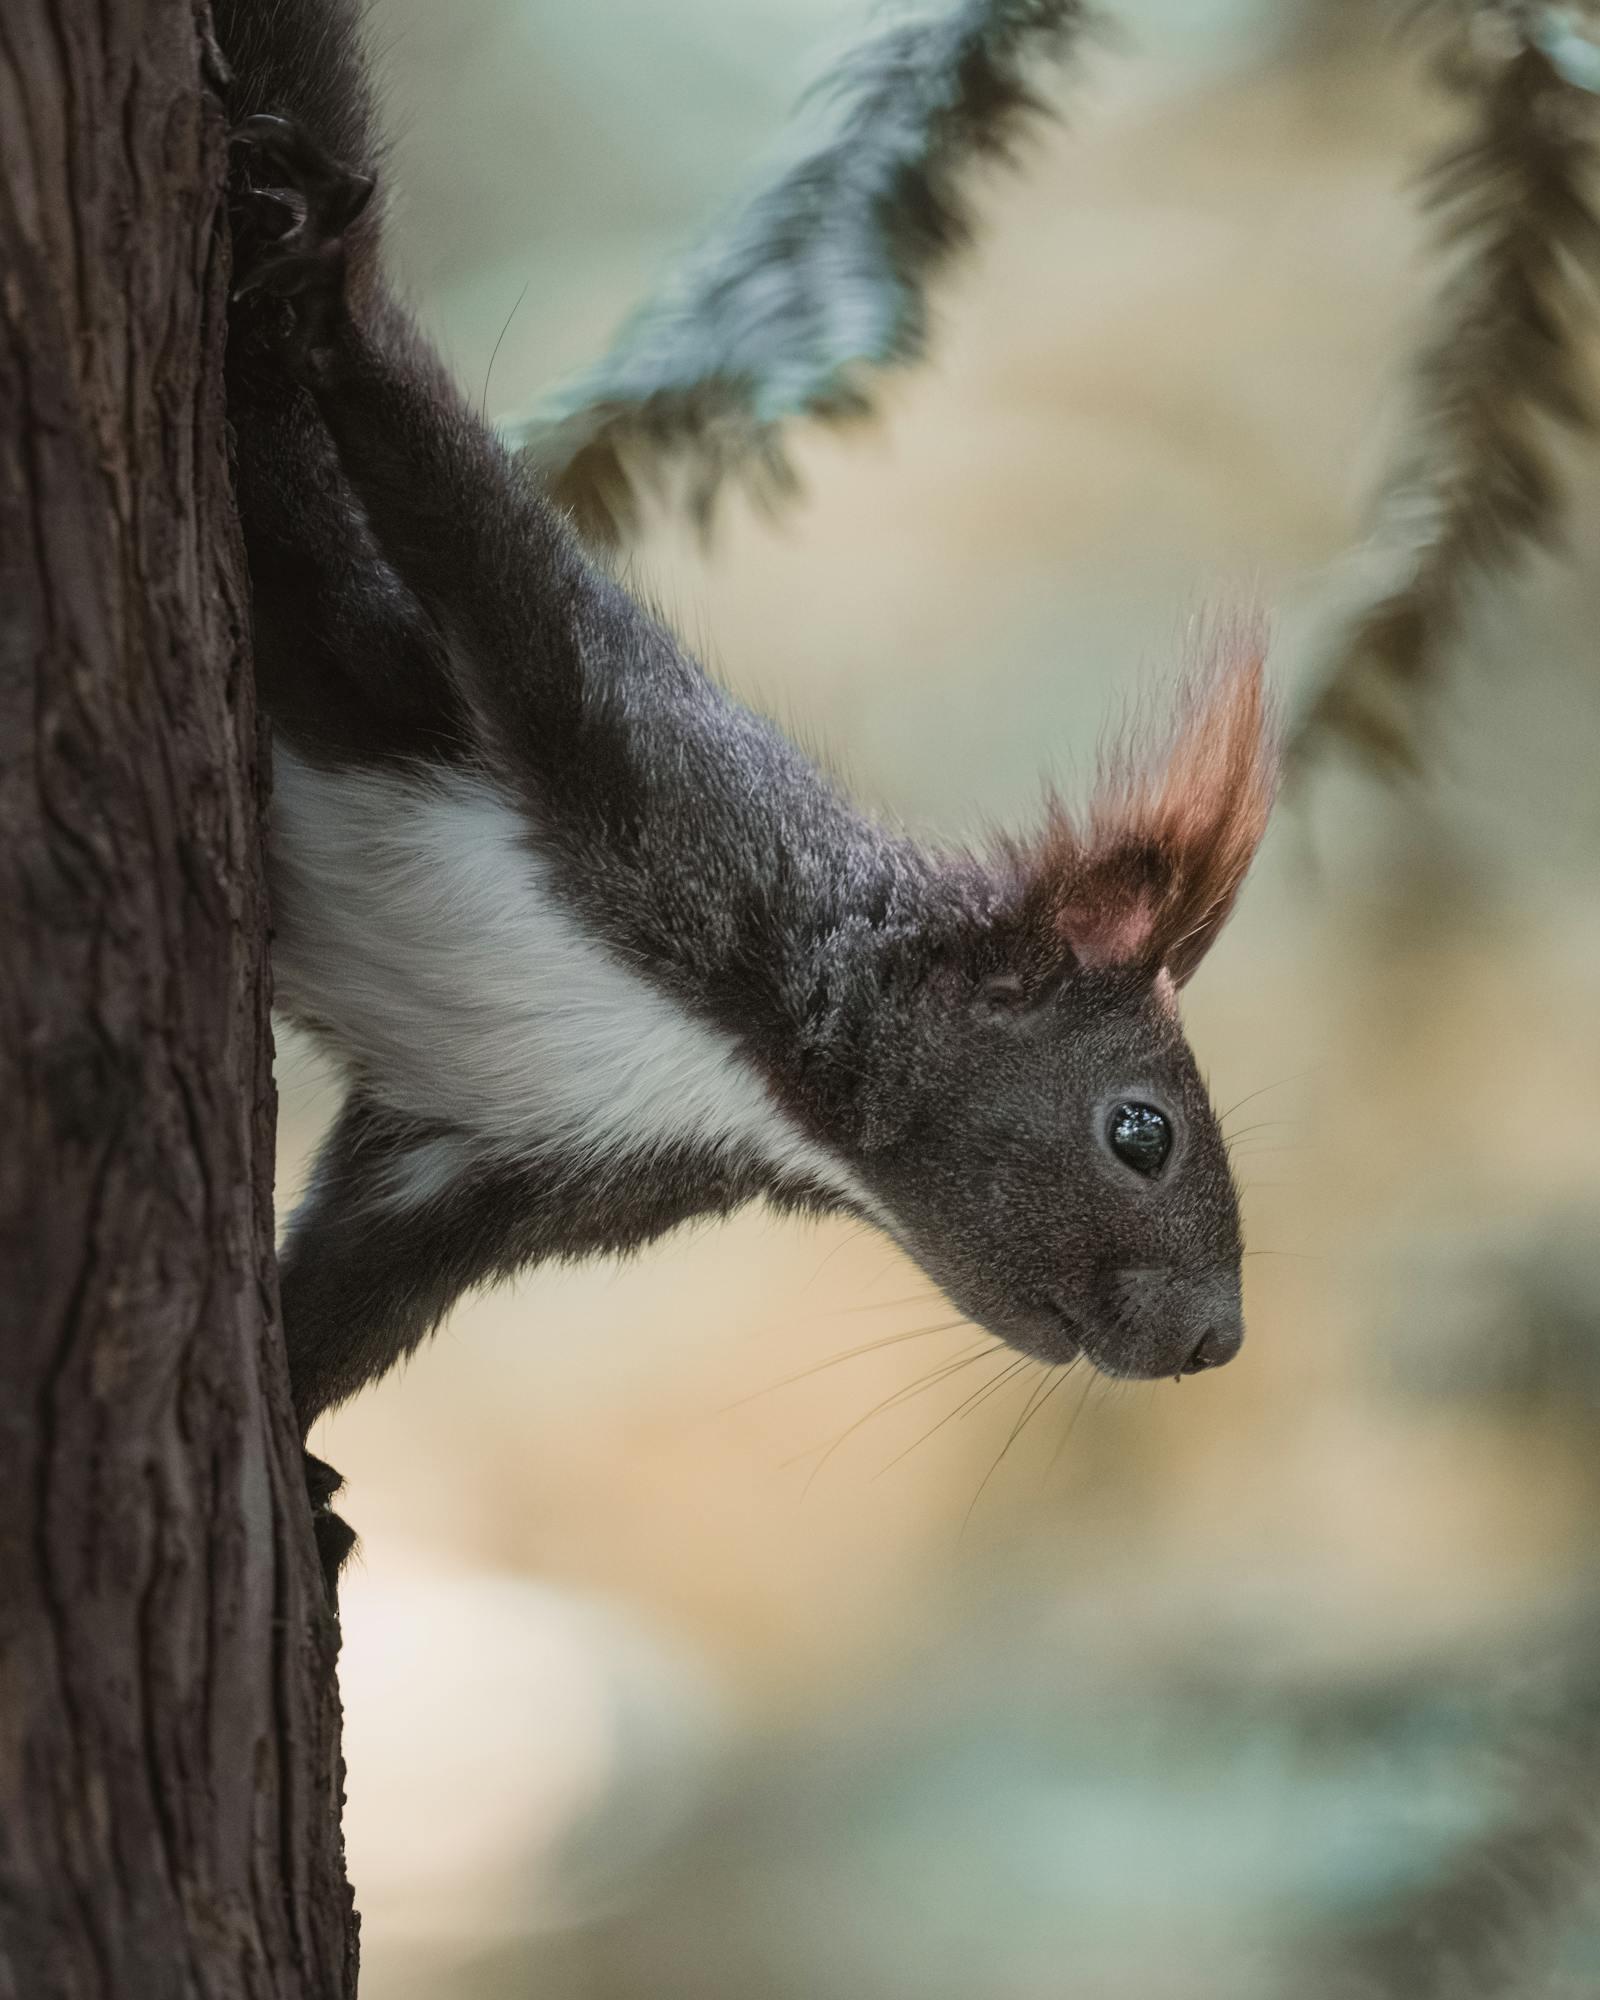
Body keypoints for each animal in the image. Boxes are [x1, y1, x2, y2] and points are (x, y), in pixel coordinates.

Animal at [216, 0, 1272, 1568]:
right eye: (1140, 1131)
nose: (1216, 1341)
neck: (740, 1065)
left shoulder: (495, 1158)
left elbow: (350, 1300)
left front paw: (300, 1458)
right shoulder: (621, 746)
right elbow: (467, 527)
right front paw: (338, 302)